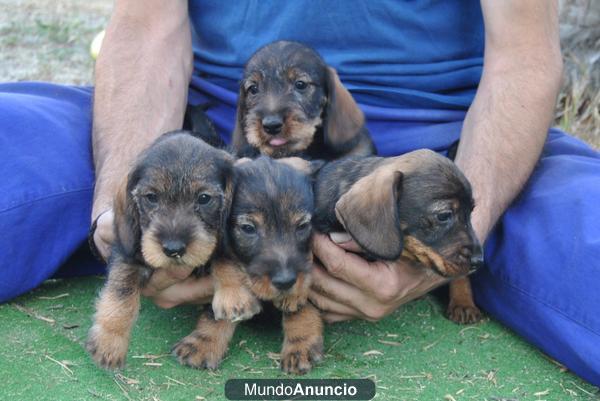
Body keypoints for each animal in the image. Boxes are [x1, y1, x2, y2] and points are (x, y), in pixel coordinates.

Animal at [85, 131, 233, 368]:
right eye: (151, 197)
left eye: (204, 198)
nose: (173, 249)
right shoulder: (129, 252)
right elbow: (122, 291)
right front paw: (109, 340)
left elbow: (222, 307)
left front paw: (204, 343)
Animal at [172, 156, 324, 376]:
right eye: (248, 228)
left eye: (303, 226)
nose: (285, 282)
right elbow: (222, 279)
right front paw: (205, 341)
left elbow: (303, 306)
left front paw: (300, 342)